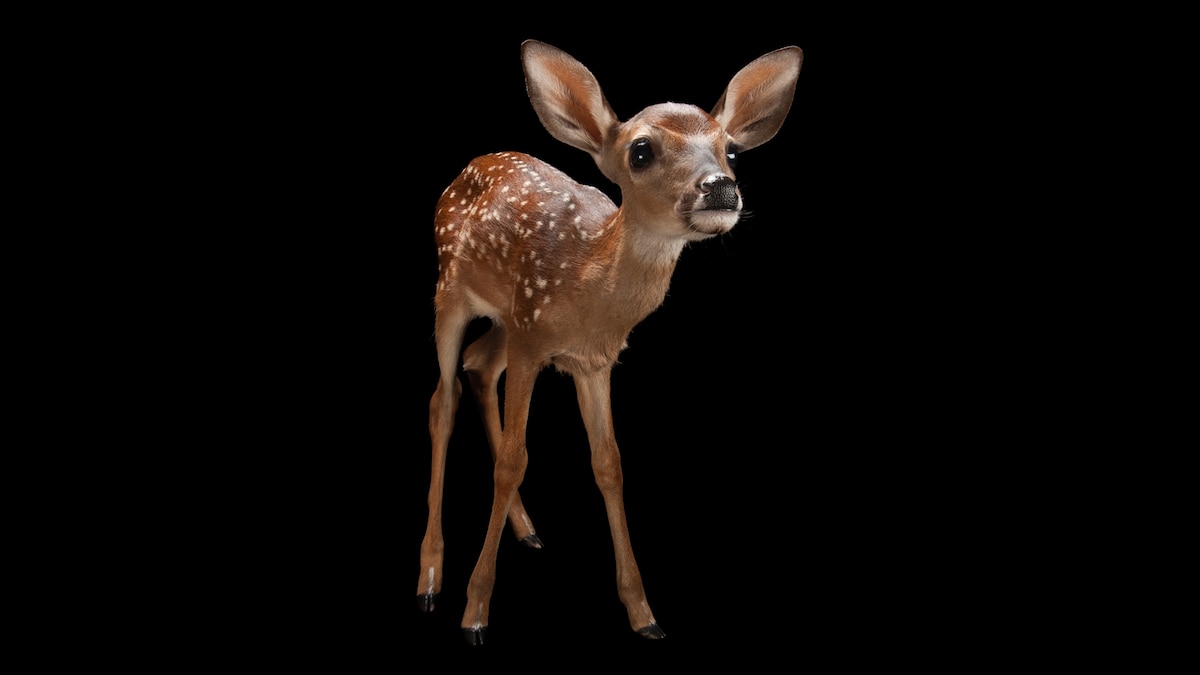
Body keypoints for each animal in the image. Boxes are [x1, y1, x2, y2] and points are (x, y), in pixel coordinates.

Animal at [417, 39, 802, 645]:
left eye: (733, 153)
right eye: (641, 151)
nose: (720, 187)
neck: (588, 282)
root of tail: (468, 167)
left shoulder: (590, 361)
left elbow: (610, 464)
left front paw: (643, 613)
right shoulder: (532, 343)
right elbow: (513, 460)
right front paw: (474, 611)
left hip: (506, 319)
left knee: (477, 367)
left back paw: (526, 529)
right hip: (451, 292)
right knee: (443, 399)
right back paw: (430, 578)